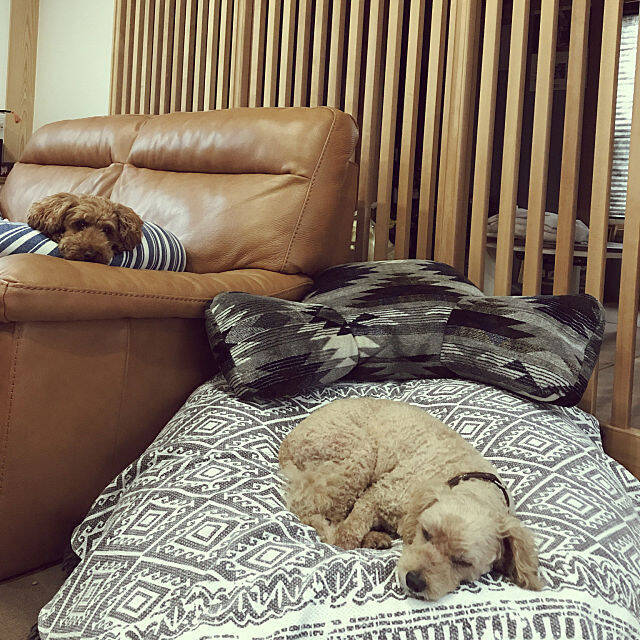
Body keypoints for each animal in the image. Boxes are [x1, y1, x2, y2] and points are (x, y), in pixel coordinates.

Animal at [279, 398, 543, 600]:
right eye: (426, 534)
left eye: (463, 562)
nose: (414, 581)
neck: (467, 479)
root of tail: (287, 442)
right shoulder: (379, 493)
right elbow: (347, 536)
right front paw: (359, 537)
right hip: (358, 454)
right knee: (309, 508)